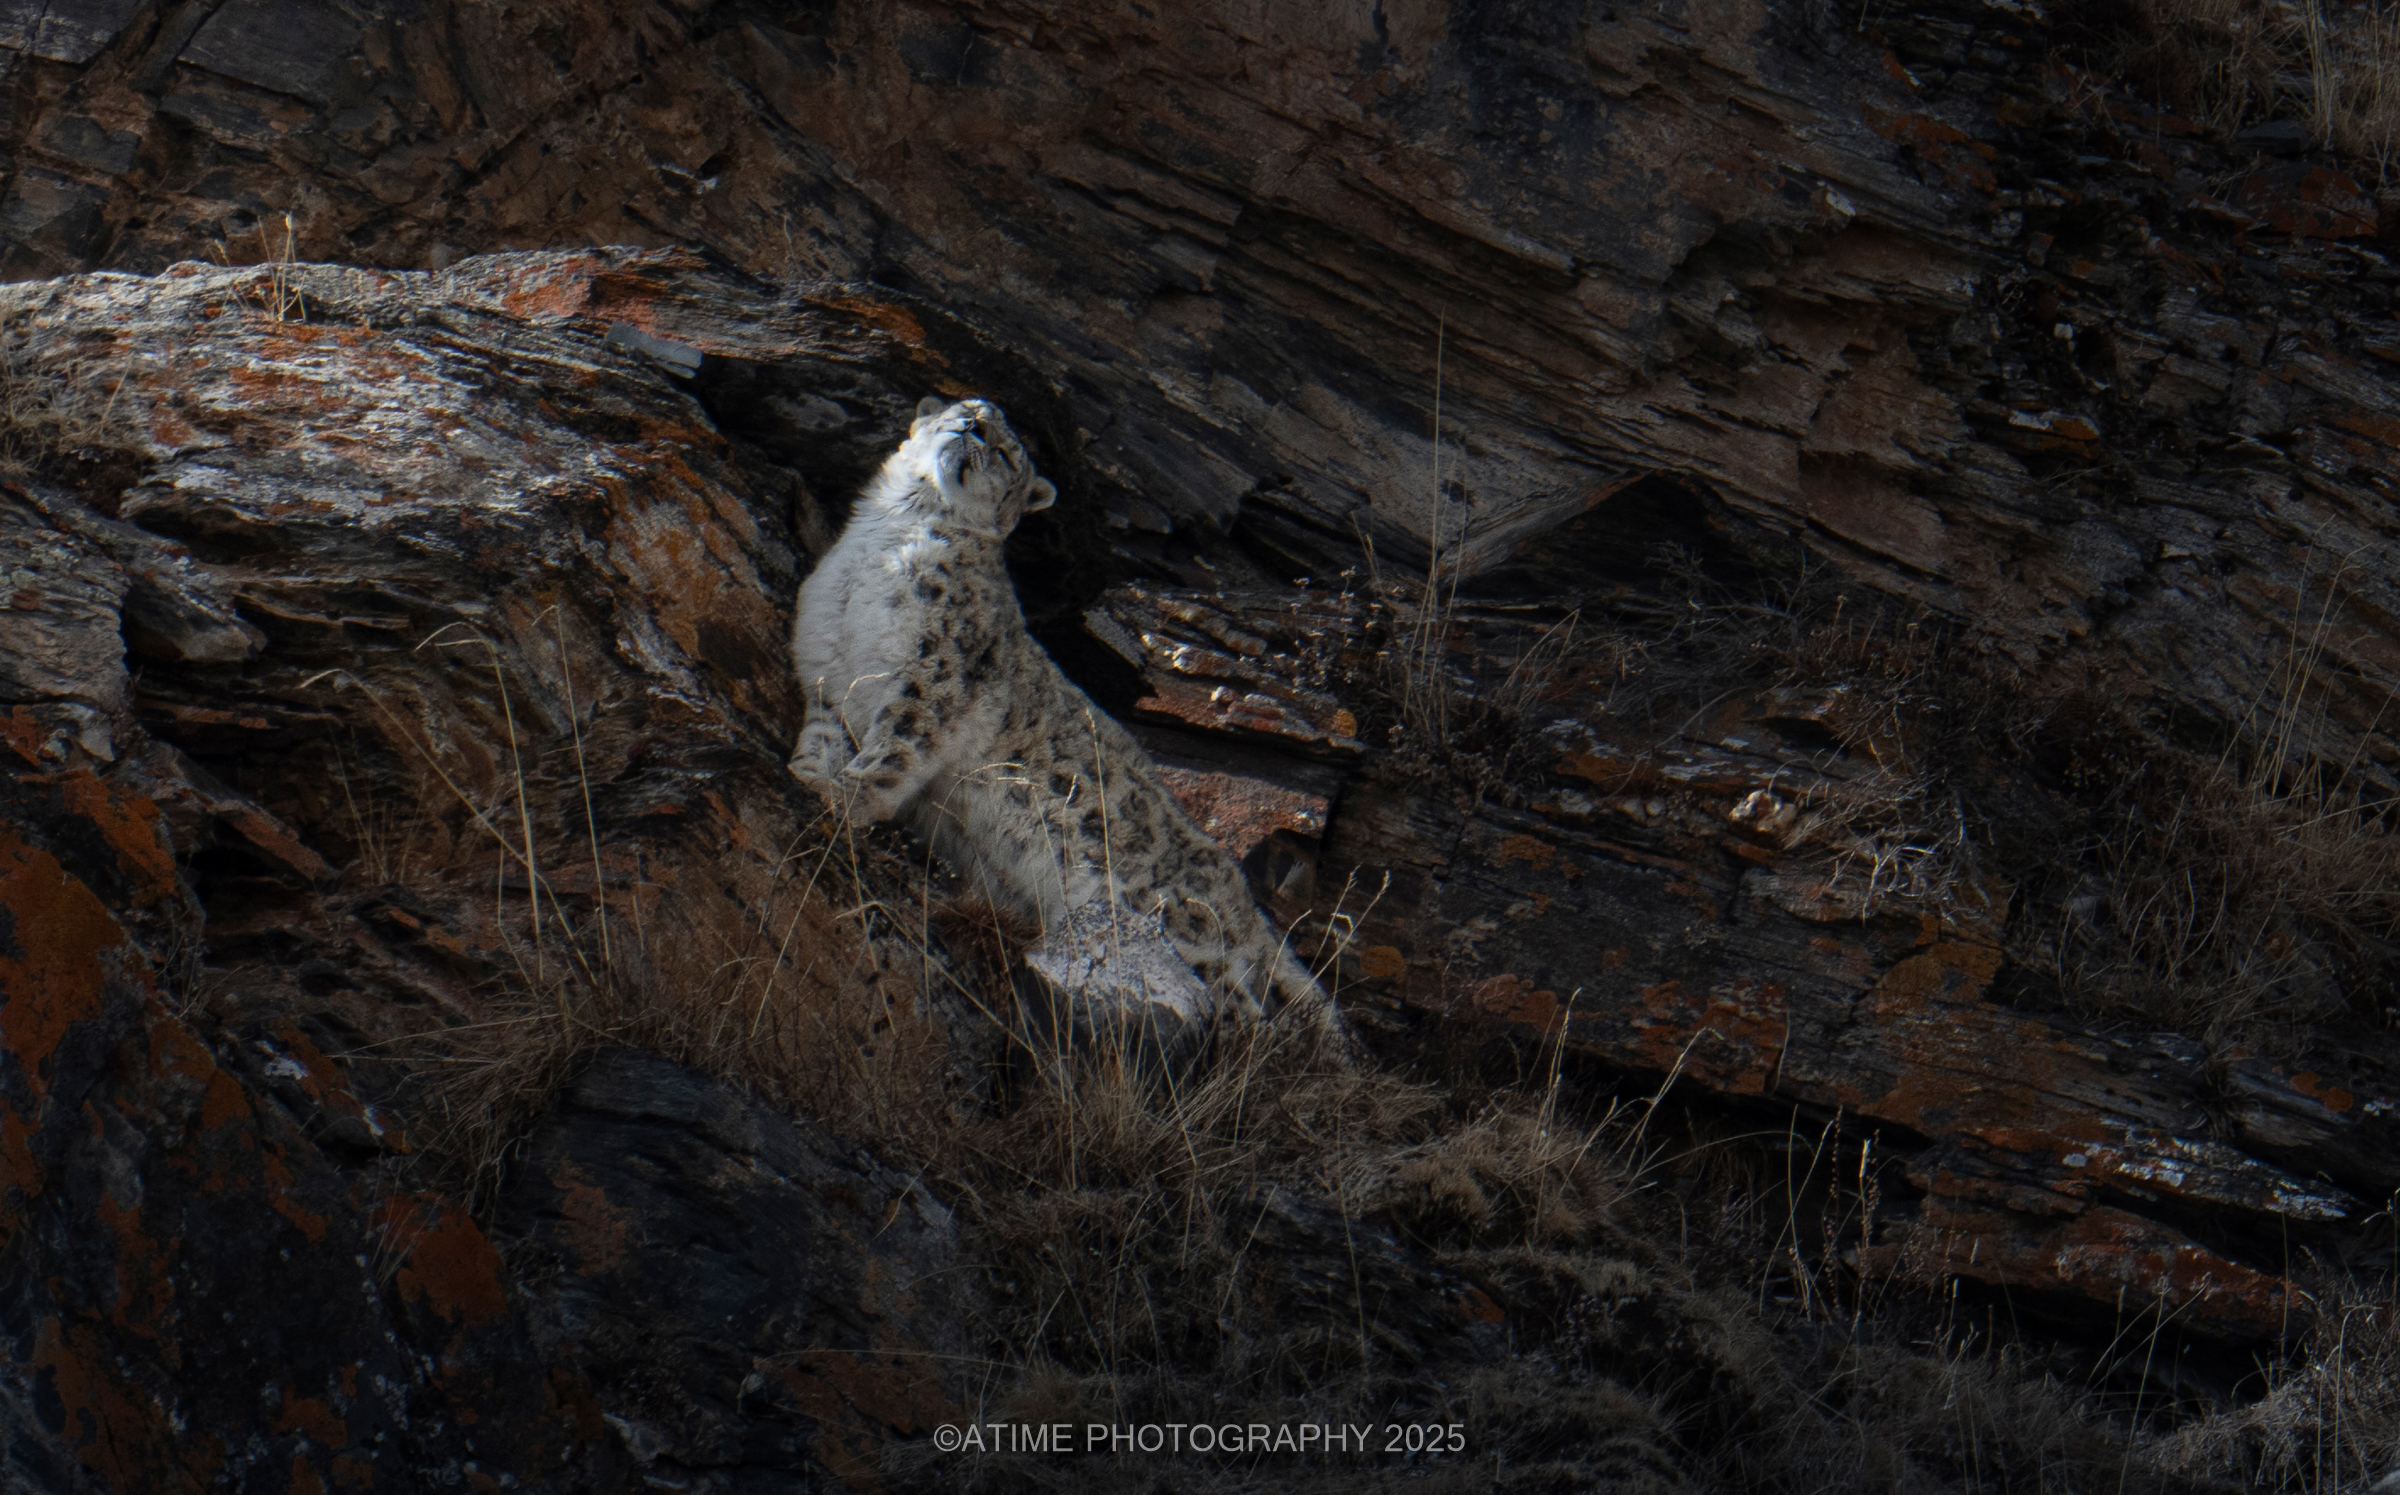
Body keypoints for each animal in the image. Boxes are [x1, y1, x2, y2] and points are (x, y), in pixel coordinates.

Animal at [788, 396, 1349, 1053]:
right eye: (962, 410)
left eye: (1005, 452)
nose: (971, 429)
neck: (887, 536)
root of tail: (1245, 900)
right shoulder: (830, 674)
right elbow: (824, 734)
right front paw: (807, 775)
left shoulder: (936, 669)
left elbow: (896, 748)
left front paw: (846, 797)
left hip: (1179, 925)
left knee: (1244, 1011)